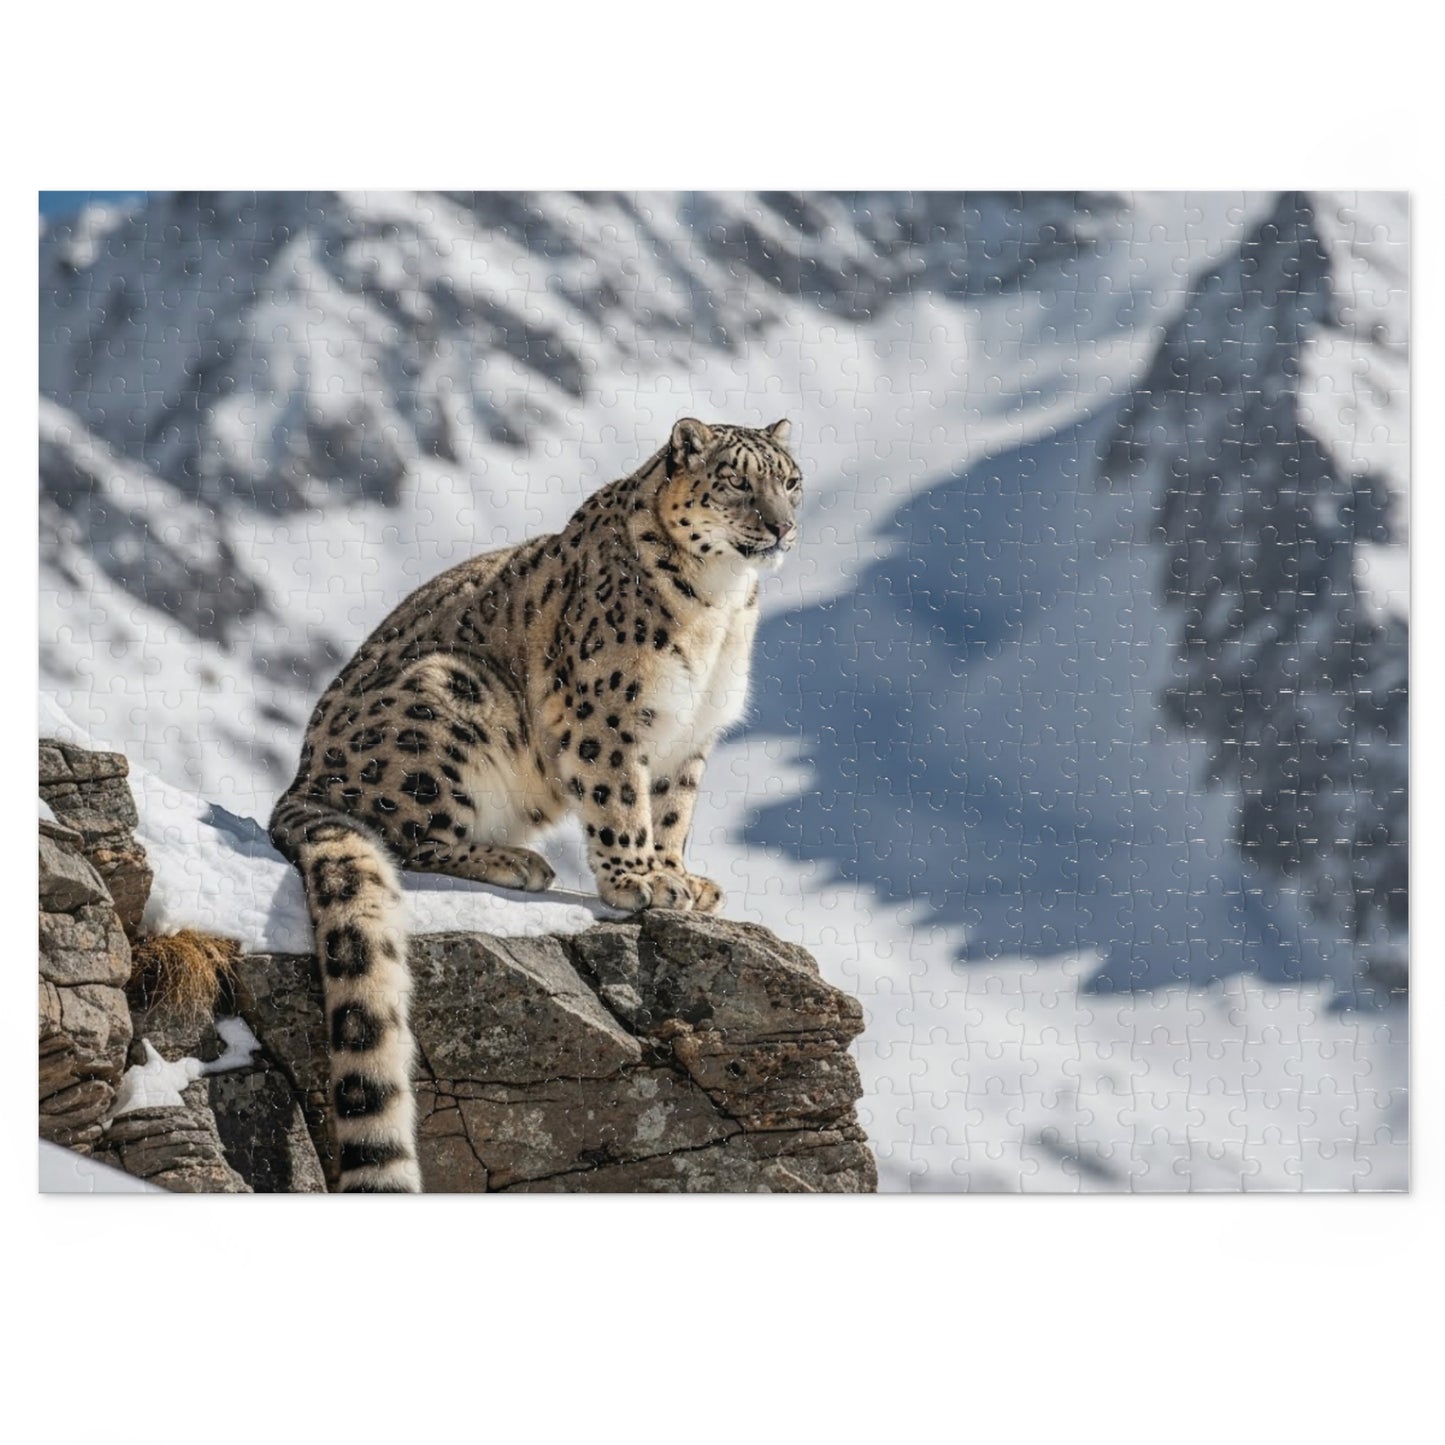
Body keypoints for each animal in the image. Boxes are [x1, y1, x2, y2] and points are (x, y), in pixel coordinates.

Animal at [268, 418, 802, 1191]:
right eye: (736, 481)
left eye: (789, 481)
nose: (782, 526)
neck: (721, 606)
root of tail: (300, 779)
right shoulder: (605, 713)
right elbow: (619, 798)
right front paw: (637, 881)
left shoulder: (690, 737)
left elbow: (672, 811)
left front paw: (681, 878)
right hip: (447, 701)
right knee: (406, 833)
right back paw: (514, 860)